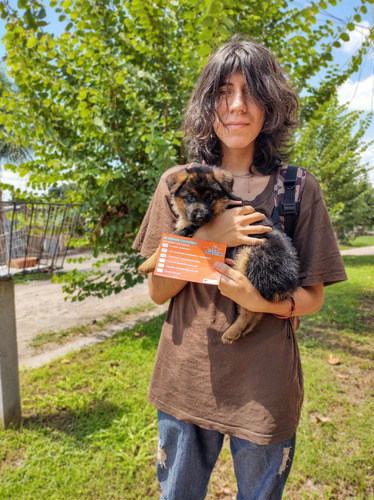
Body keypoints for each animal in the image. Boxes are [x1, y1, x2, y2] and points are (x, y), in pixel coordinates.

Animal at [137, 164, 298, 344]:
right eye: (190, 197)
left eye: (210, 198)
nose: (200, 216)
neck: (222, 206)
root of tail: (289, 282)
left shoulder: (190, 229)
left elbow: (168, 240)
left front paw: (146, 265)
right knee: (256, 314)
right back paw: (235, 333)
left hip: (249, 258)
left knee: (252, 310)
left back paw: (232, 332)